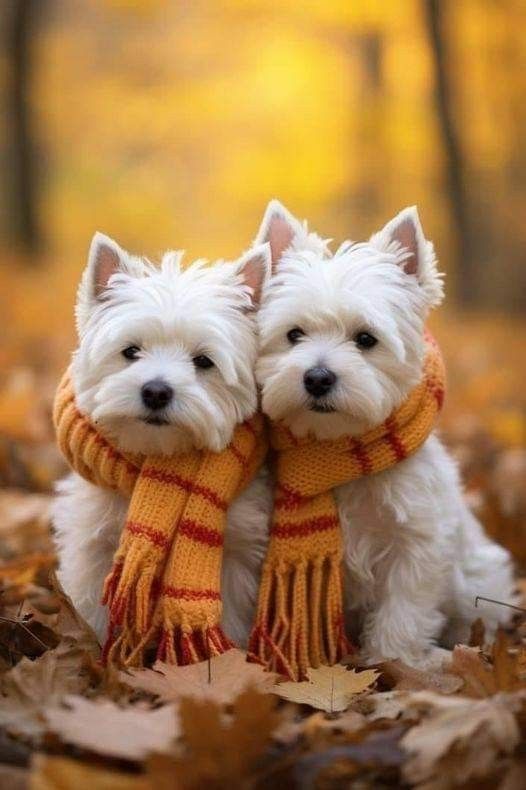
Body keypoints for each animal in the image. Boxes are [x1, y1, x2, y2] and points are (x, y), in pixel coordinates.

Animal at [52, 232, 276, 640]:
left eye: (203, 361)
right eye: (130, 351)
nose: (156, 391)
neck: (155, 455)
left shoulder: (236, 553)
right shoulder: (93, 545)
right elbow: (92, 609)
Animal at [227, 201, 516, 664]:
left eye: (366, 339)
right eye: (293, 334)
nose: (318, 378)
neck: (336, 448)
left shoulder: (416, 541)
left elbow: (403, 610)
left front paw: (392, 662)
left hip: (481, 571)